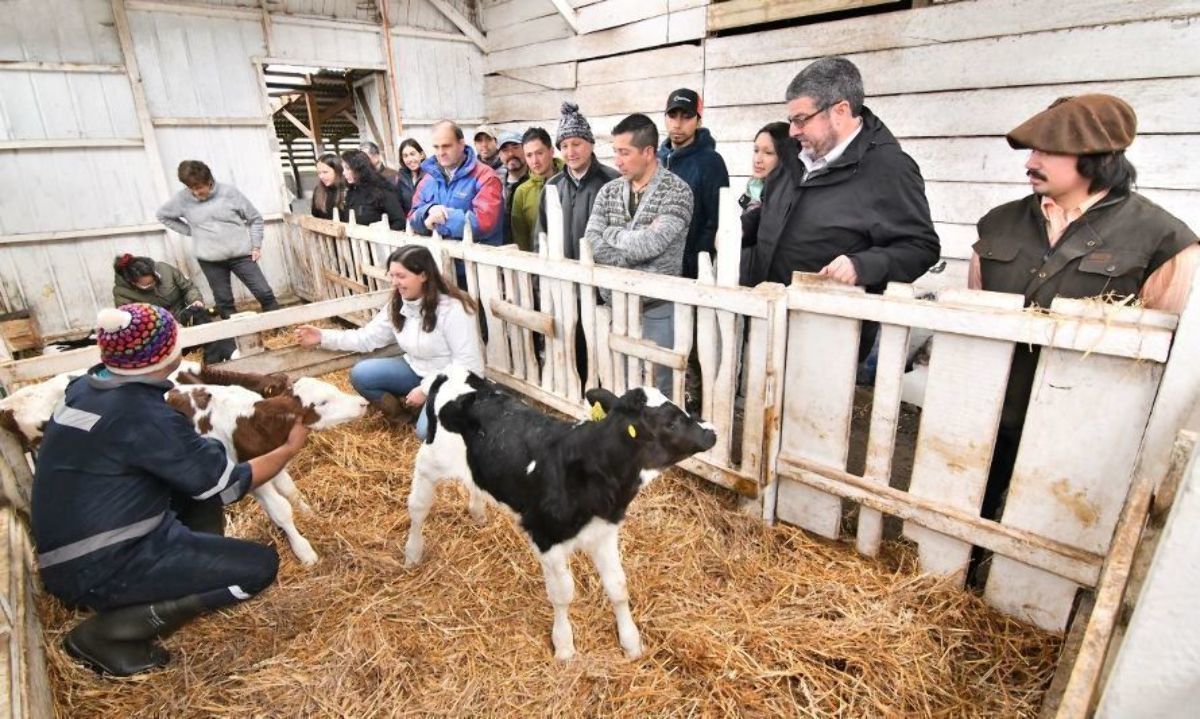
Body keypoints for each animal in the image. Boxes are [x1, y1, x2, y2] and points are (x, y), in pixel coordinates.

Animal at [166, 376, 367, 568]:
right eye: (323, 402)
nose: (362, 403)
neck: (253, 424)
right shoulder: (251, 475)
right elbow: (281, 509)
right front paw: (303, 549)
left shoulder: (275, 459)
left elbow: (290, 491)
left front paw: (308, 513)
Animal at [403, 369, 720, 662]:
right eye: (671, 422)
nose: (712, 431)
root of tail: (456, 372)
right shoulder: (548, 539)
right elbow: (563, 594)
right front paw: (564, 646)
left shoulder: (603, 533)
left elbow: (618, 586)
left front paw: (631, 643)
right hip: (430, 461)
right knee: (418, 507)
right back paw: (412, 553)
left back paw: (477, 512)